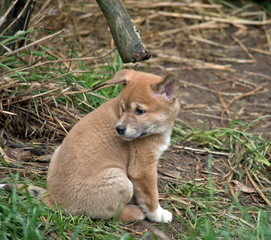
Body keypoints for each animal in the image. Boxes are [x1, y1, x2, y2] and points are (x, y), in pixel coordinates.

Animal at [1, 69, 183, 223]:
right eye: (123, 108)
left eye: (139, 111)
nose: (119, 129)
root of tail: (54, 200)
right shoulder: (143, 168)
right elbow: (151, 197)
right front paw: (158, 215)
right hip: (120, 180)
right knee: (110, 214)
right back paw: (134, 212)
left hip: (58, 152)